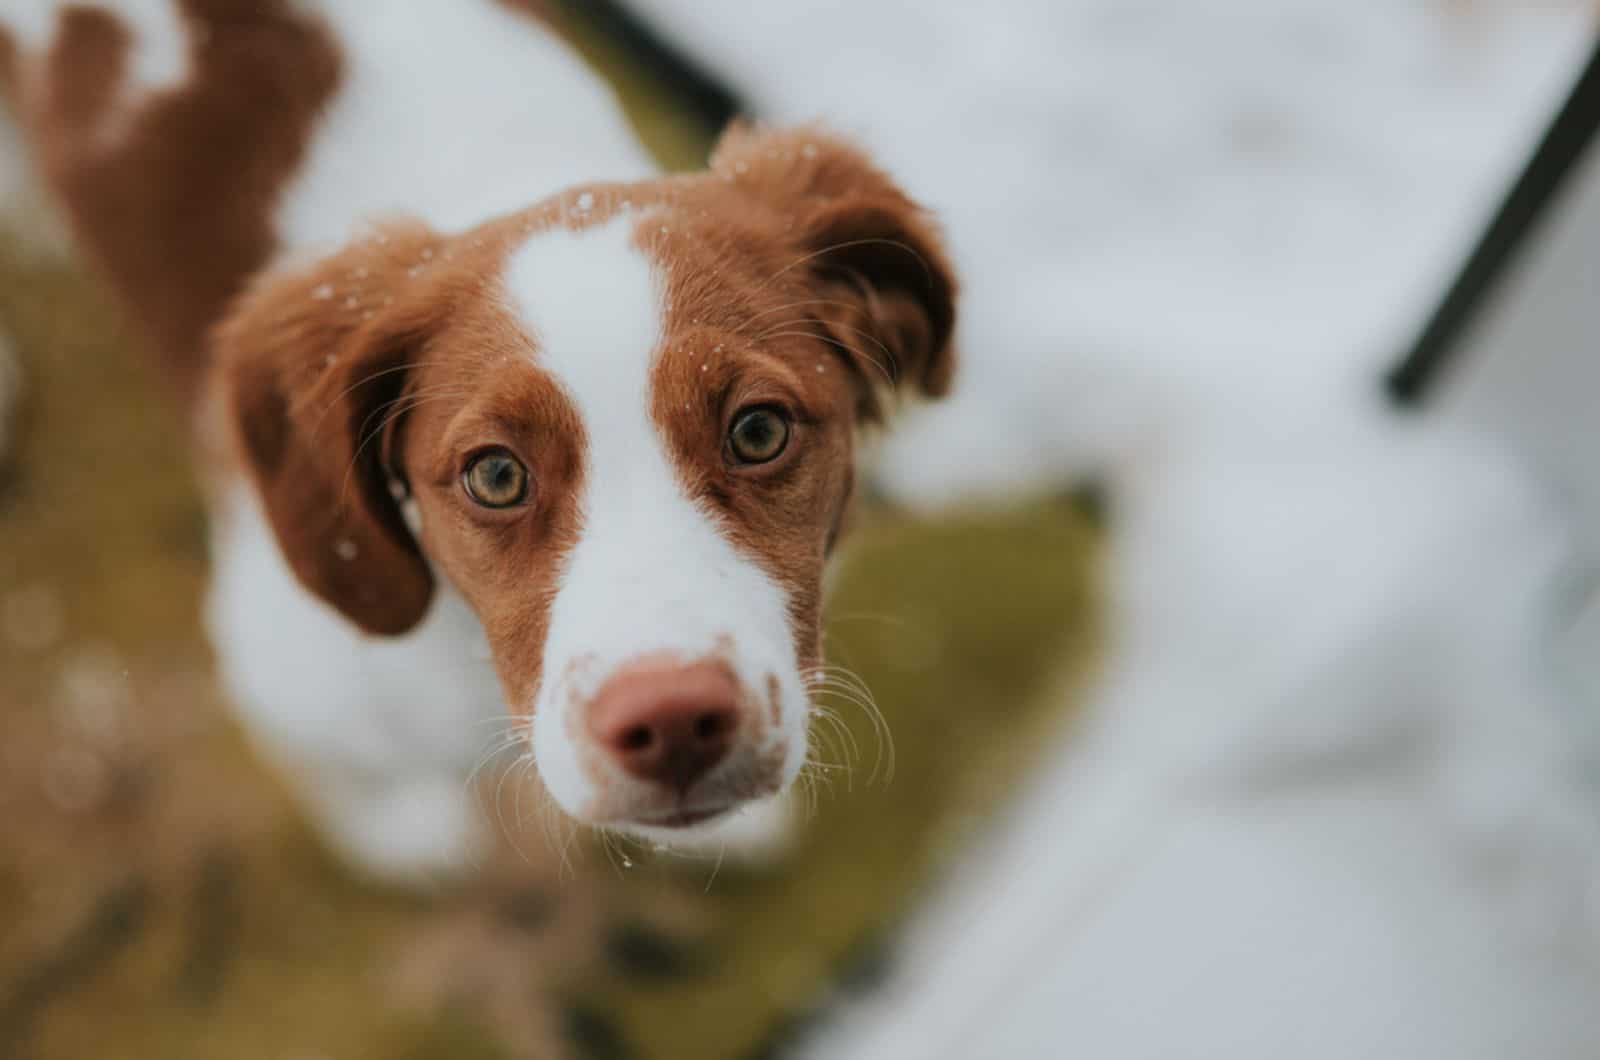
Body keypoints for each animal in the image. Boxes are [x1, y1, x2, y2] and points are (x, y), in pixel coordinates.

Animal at [0, 0, 947, 877]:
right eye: (496, 476)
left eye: (758, 430)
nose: (672, 720)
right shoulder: (282, 662)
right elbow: (337, 775)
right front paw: (403, 835)